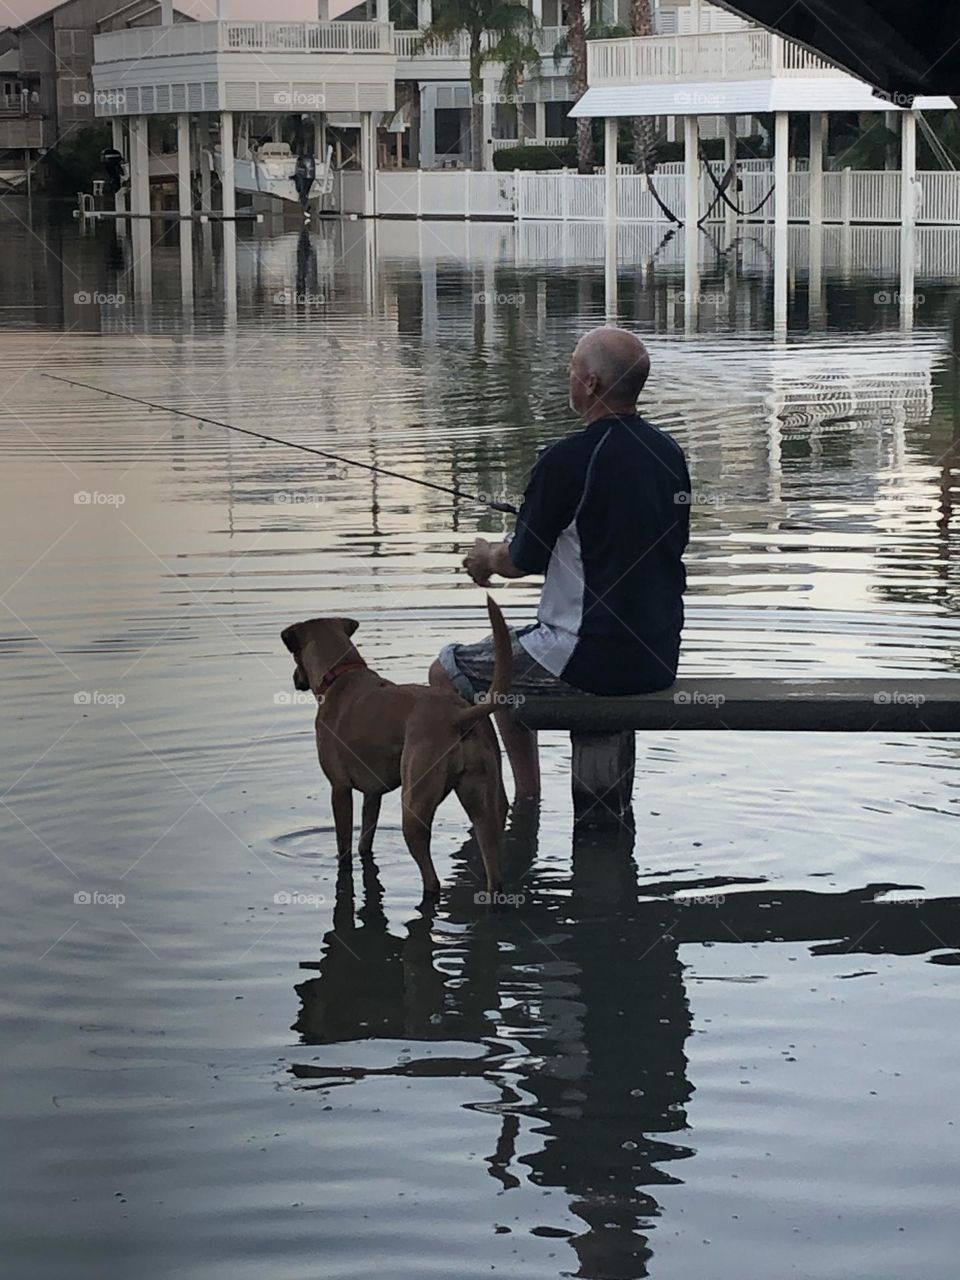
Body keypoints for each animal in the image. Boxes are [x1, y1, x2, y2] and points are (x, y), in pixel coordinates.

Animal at [284, 599, 514, 901]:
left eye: (295, 655)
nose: (295, 678)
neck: (340, 676)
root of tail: (458, 716)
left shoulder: (340, 789)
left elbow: (344, 845)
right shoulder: (372, 794)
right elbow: (365, 839)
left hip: (415, 808)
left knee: (431, 878)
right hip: (485, 806)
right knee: (494, 872)